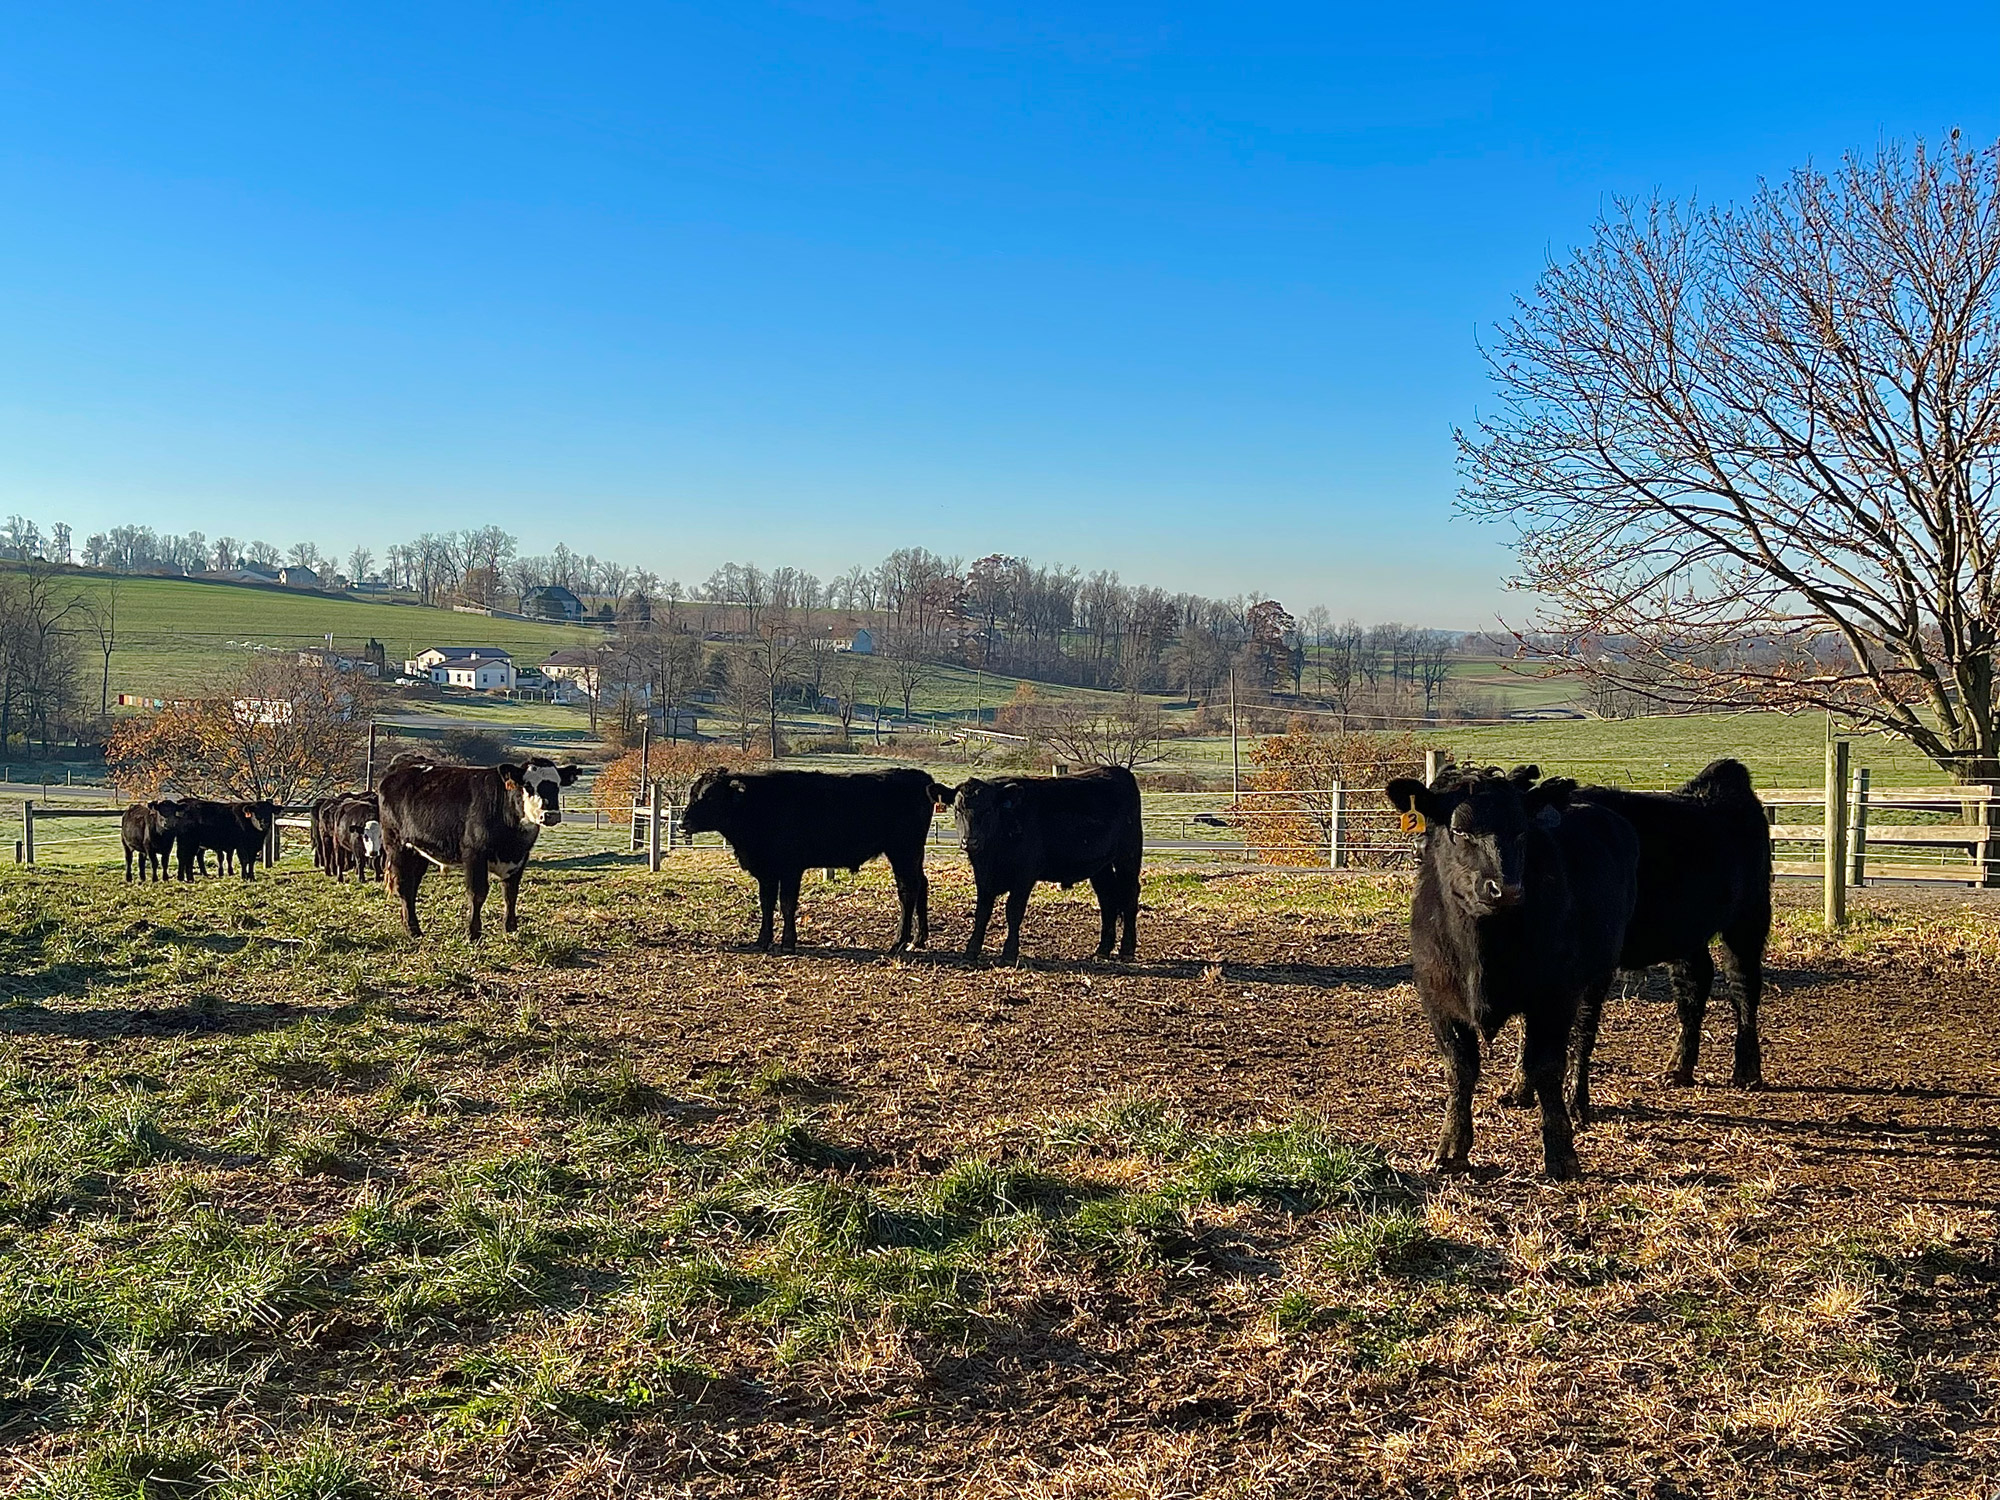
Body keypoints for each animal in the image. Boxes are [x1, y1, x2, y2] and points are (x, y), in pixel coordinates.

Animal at [376, 764, 580, 940]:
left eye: (557, 785)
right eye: (529, 786)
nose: (550, 815)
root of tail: (395, 773)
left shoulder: (521, 857)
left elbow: (510, 894)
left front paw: (510, 929)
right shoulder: (474, 855)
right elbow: (477, 894)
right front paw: (473, 933)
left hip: (418, 853)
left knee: (412, 888)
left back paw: (412, 927)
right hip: (398, 846)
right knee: (404, 886)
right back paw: (413, 930)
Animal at [676, 768, 940, 956]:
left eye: (710, 796)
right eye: (692, 793)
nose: (681, 823)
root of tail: (920, 777)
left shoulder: (791, 868)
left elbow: (786, 904)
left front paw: (788, 943)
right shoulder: (766, 871)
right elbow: (766, 904)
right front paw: (762, 941)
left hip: (903, 852)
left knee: (908, 890)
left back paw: (898, 942)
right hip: (913, 855)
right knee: (922, 885)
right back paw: (918, 939)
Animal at [948, 768, 1144, 968]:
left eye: (988, 810)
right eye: (957, 810)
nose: (970, 841)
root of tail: (1118, 771)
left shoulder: (1024, 875)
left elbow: (1014, 911)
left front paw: (1009, 954)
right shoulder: (983, 876)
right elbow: (982, 912)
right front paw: (971, 952)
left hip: (1128, 855)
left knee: (1129, 895)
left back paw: (1126, 950)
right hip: (1100, 866)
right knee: (1108, 899)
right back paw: (1102, 951)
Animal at [1392, 768, 1640, 1184]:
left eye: (1522, 831)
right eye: (1458, 830)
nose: (1505, 889)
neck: (1481, 956)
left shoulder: (1556, 996)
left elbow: (1548, 1067)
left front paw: (1561, 1152)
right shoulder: (1437, 997)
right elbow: (1460, 1068)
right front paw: (1451, 1149)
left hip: (1598, 975)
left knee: (1583, 1037)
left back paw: (1578, 1102)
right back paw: (1518, 1090)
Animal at [1496, 756, 1776, 1112]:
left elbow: (1581, 1028)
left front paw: (1576, 1101)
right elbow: (1526, 1028)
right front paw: (1518, 1091)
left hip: (1749, 917)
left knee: (1743, 984)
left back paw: (1747, 1071)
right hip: (1685, 931)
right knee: (1694, 984)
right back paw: (1678, 1068)